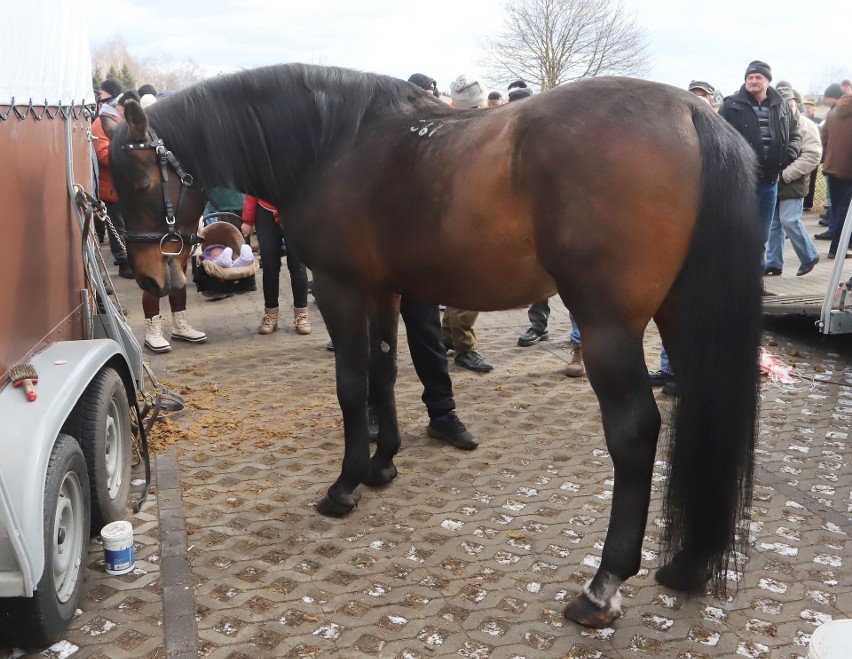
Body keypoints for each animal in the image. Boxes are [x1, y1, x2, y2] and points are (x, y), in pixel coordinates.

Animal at [110, 63, 764, 628]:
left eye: (139, 179)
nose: (147, 279)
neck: (333, 144)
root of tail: (689, 112)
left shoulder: (341, 290)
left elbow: (351, 386)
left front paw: (345, 485)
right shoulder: (385, 292)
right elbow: (383, 375)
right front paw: (382, 464)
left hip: (608, 325)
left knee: (635, 433)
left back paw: (602, 586)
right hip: (681, 314)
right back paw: (687, 564)